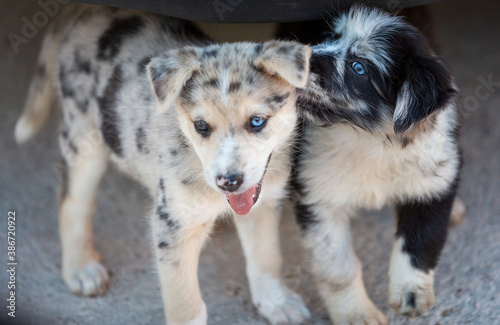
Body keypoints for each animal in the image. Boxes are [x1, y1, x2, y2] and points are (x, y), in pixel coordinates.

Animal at [14, 3, 312, 324]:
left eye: (257, 121)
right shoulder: (172, 226)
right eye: (201, 126)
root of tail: (82, 9)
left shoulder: (264, 203)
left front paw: (276, 300)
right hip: (83, 138)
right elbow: (187, 307)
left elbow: (266, 257)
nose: (228, 182)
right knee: (74, 201)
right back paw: (81, 268)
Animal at [292, 5, 464, 324]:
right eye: (330, 37)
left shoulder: (431, 186)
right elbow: (338, 267)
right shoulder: (317, 196)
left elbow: (421, 241)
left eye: (358, 67)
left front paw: (411, 294)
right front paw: (356, 312)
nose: (298, 55)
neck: (369, 140)